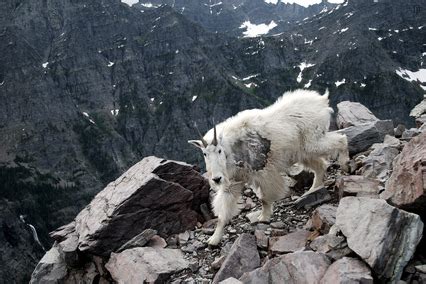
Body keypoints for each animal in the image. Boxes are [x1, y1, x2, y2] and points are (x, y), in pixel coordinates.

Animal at [190, 90, 350, 245]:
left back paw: (345, 164)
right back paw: (313, 189)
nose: (216, 179)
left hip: (313, 142)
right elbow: (223, 210)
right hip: (303, 152)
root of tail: (321, 101)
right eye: (204, 153)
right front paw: (214, 239)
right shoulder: (233, 182)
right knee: (320, 165)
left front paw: (264, 217)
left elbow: (264, 198)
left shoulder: (264, 172)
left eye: (219, 150)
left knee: (341, 139)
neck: (232, 148)